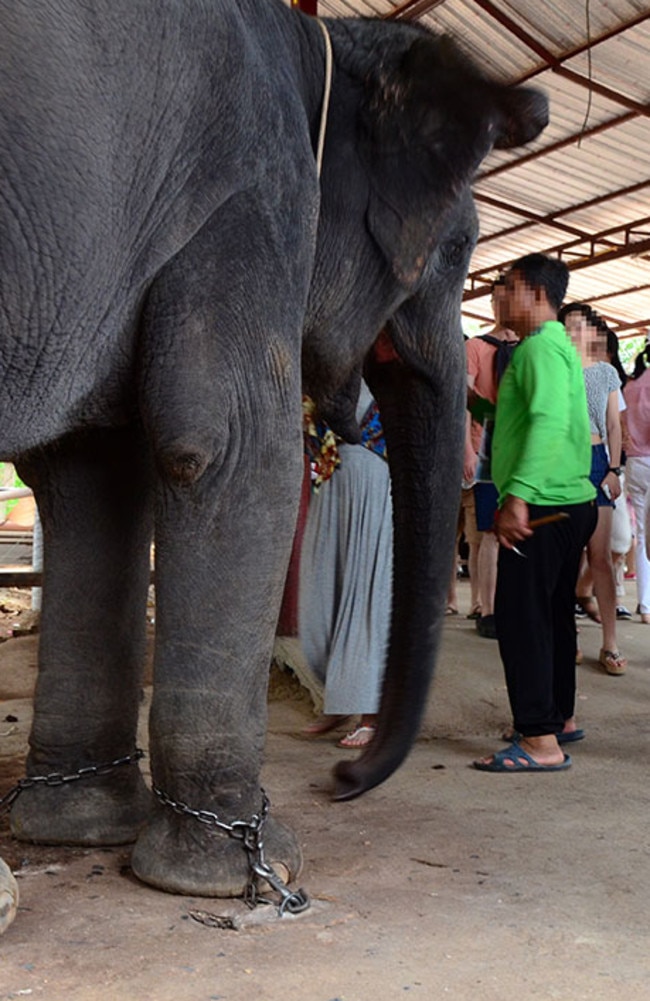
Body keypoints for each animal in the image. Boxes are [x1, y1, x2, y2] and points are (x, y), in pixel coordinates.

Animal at [0, 0, 548, 896]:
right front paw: (247, 866)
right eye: (460, 249)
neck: (321, 44)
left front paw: (76, 829)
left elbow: (93, 469)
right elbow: (229, 451)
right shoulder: (252, 194)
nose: (342, 780)